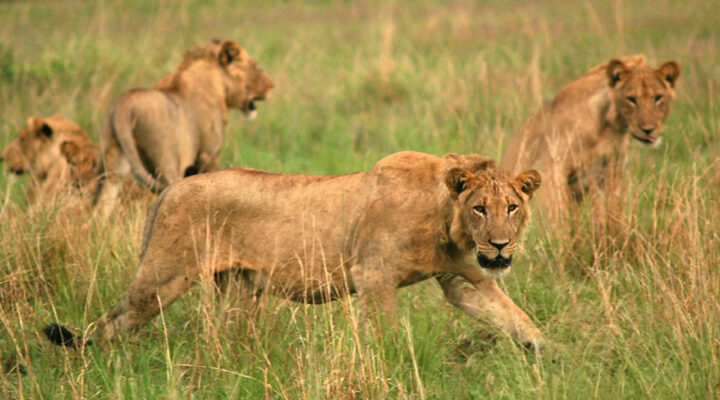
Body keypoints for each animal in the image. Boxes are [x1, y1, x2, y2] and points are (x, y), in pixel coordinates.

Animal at [44, 151, 545, 349]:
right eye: (480, 208)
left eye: (512, 207)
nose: (500, 244)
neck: (446, 218)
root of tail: (170, 189)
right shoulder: (373, 275)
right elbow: (384, 333)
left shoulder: (464, 277)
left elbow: (514, 317)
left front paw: (547, 356)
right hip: (162, 276)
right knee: (113, 321)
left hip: (238, 291)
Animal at [94, 38, 274, 216]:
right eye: (256, 66)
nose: (272, 86)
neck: (218, 85)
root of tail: (124, 105)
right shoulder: (209, 153)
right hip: (166, 160)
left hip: (113, 156)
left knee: (104, 197)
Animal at [500, 55, 680, 230]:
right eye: (631, 99)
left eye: (658, 98)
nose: (648, 129)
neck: (611, 129)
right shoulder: (551, 169)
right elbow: (558, 217)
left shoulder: (610, 174)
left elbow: (607, 213)